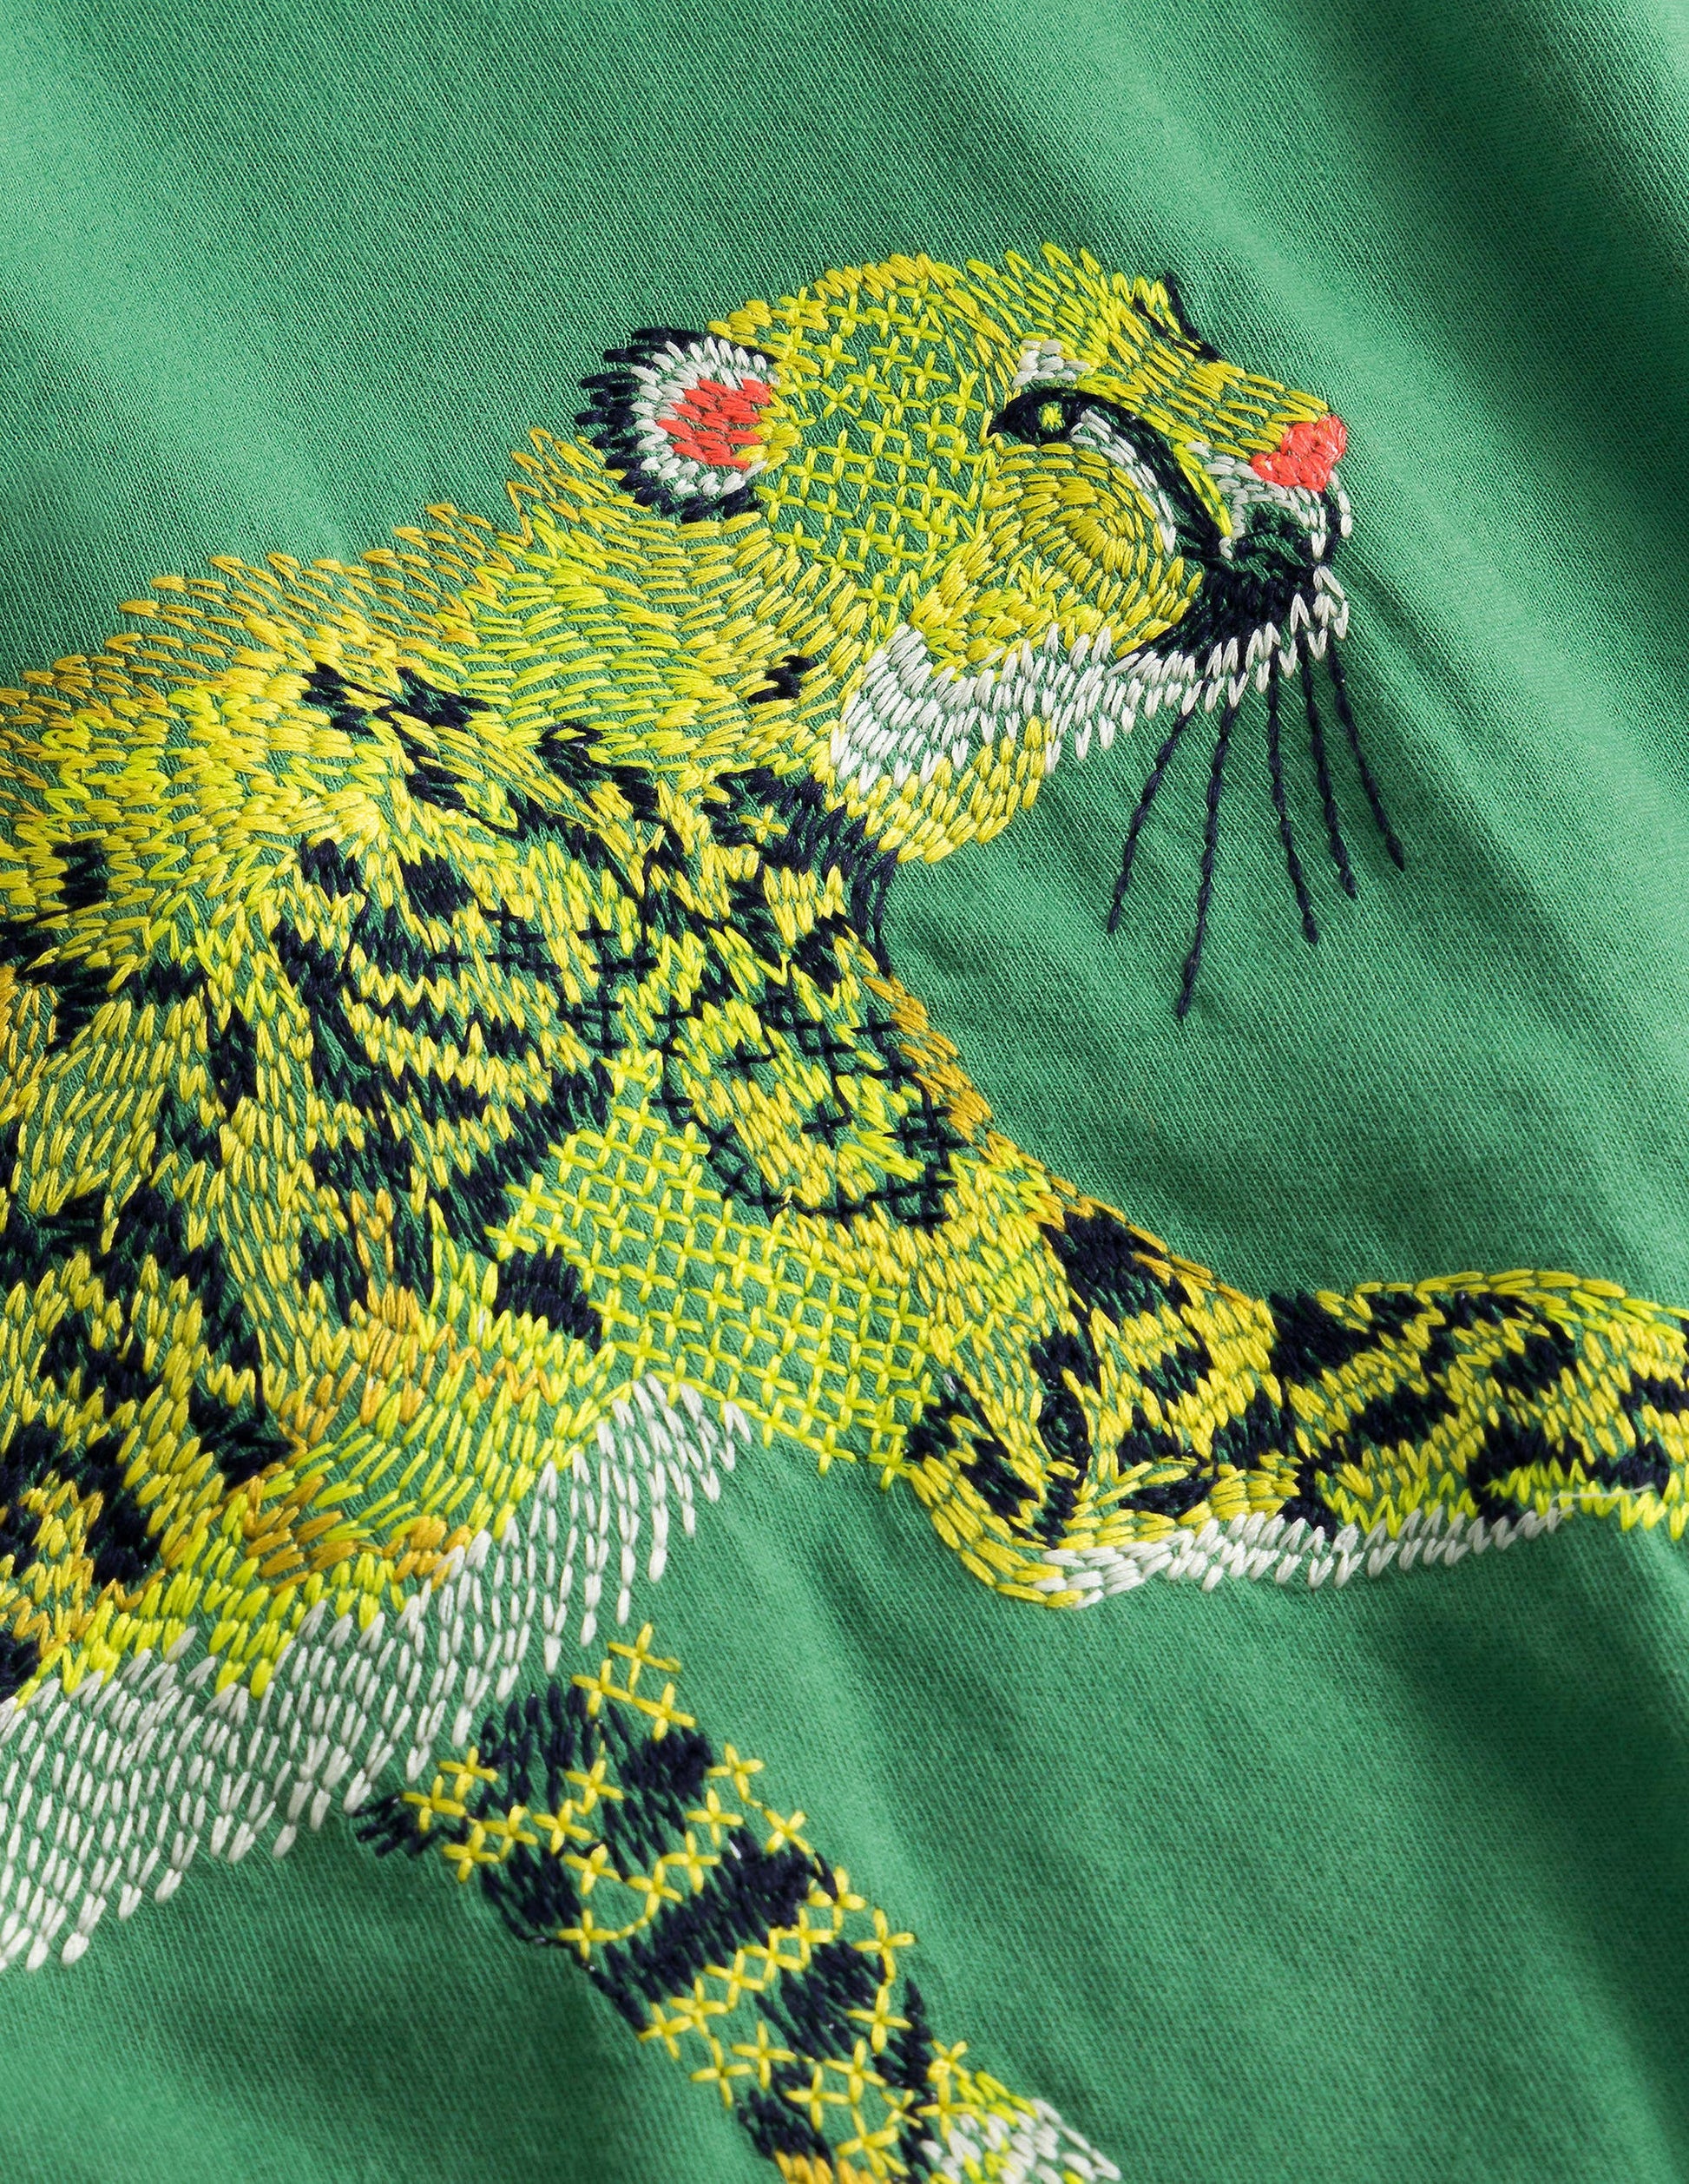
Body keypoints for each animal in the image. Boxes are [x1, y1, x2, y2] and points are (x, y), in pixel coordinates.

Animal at [0, 246, 1681, 2184]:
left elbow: (750, 1940)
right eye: (1047, 414)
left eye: (1181, 319)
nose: (1324, 446)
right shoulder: (1074, 1407)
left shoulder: (425, 1648)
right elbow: (1533, 1356)